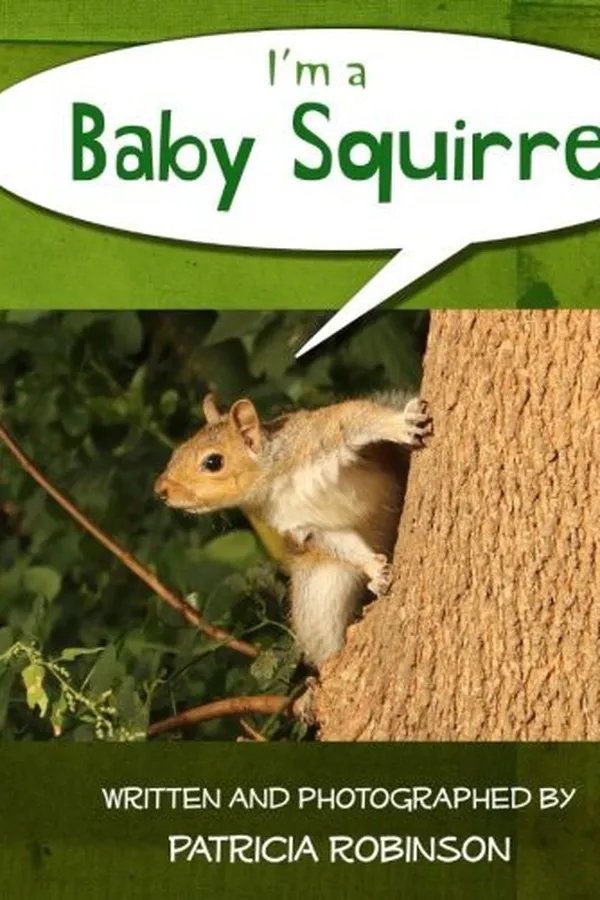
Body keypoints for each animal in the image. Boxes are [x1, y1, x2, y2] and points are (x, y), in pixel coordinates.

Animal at [154, 391, 432, 668]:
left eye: (213, 462)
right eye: (178, 449)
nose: (160, 490)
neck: (274, 484)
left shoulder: (320, 435)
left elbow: (356, 416)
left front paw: (400, 424)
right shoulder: (305, 527)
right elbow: (341, 542)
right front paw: (374, 567)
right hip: (317, 595)